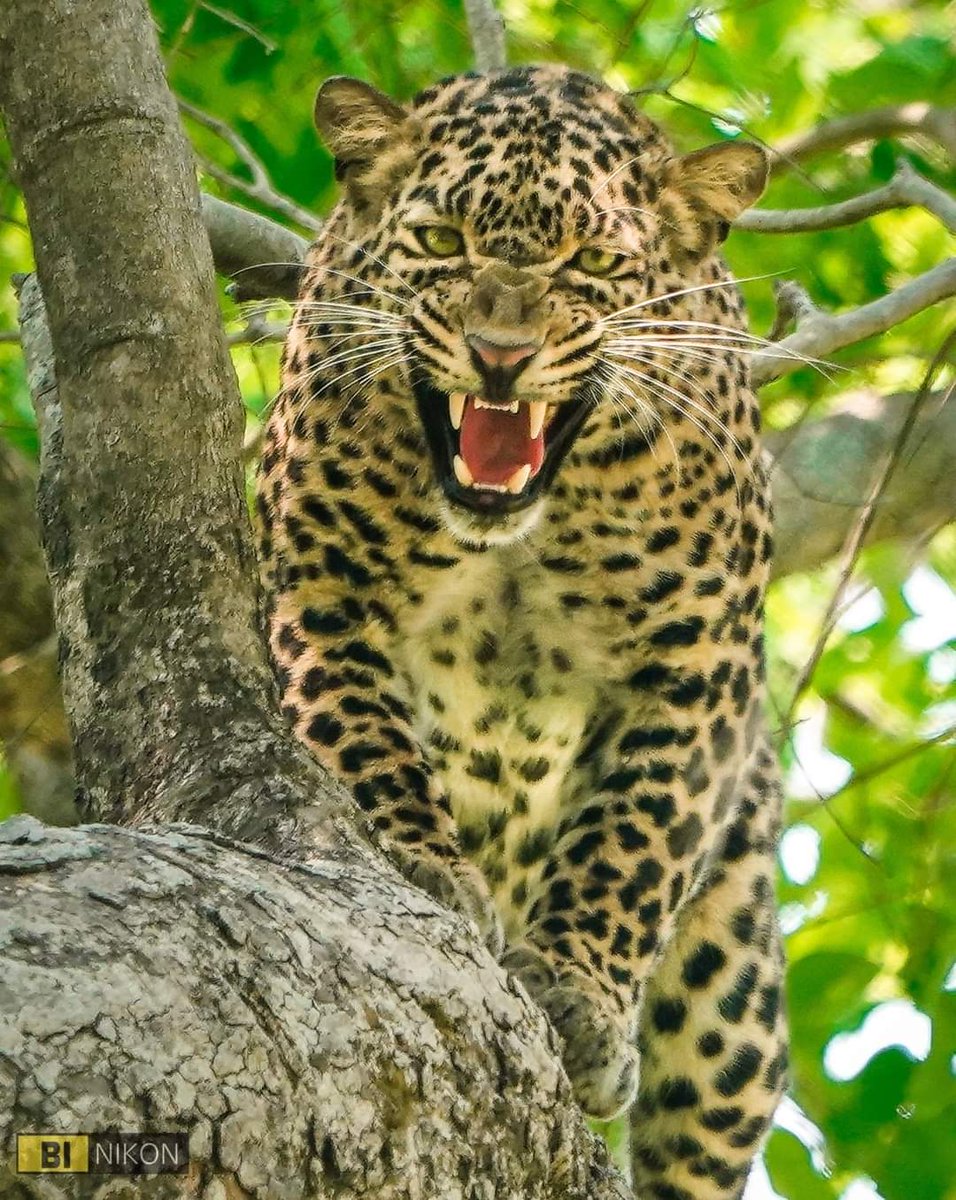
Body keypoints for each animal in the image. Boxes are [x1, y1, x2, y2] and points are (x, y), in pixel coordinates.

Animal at [257, 65, 786, 1200]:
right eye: (442, 239)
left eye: (593, 262)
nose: (501, 355)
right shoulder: (319, 589)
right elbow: (362, 736)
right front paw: (421, 863)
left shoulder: (698, 663)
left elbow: (637, 835)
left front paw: (580, 992)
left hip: (733, 990)